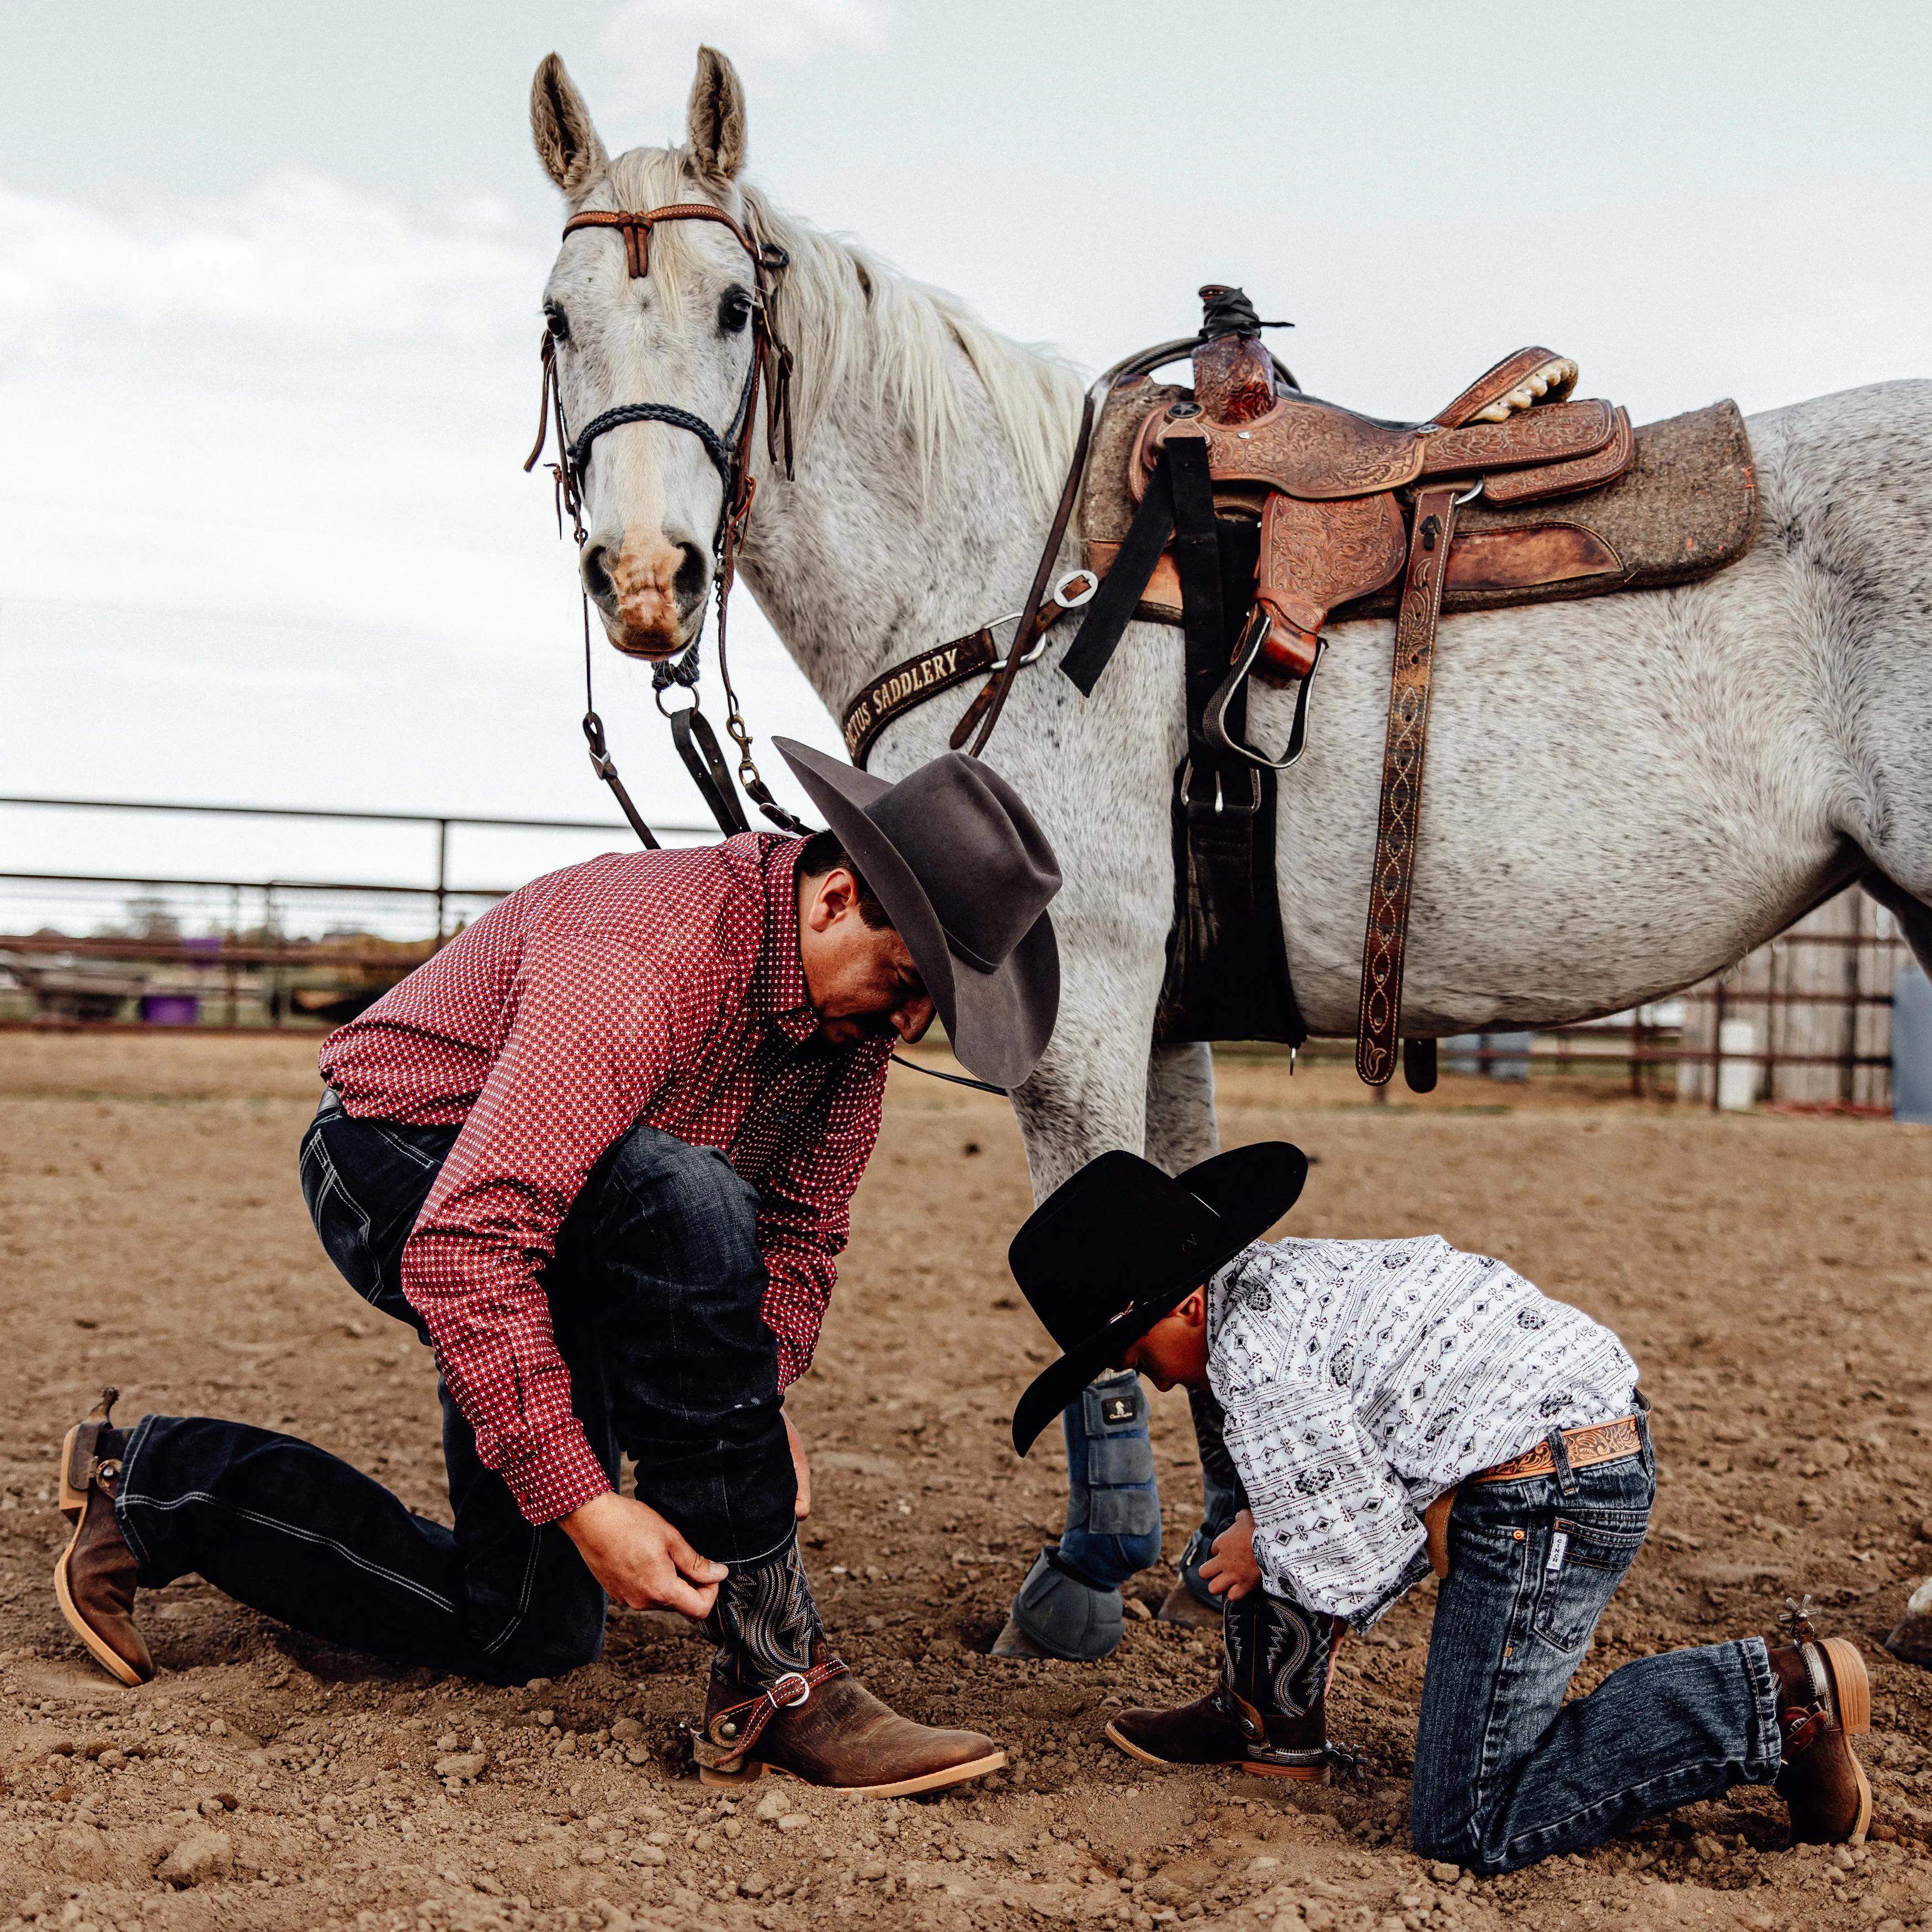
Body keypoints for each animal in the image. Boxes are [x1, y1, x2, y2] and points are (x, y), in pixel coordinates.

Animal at [529, 49, 1932, 1221]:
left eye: (734, 310)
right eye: (556, 318)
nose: (647, 575)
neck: (1013, 577)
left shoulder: (1079, 1019)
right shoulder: (1161, 1024)